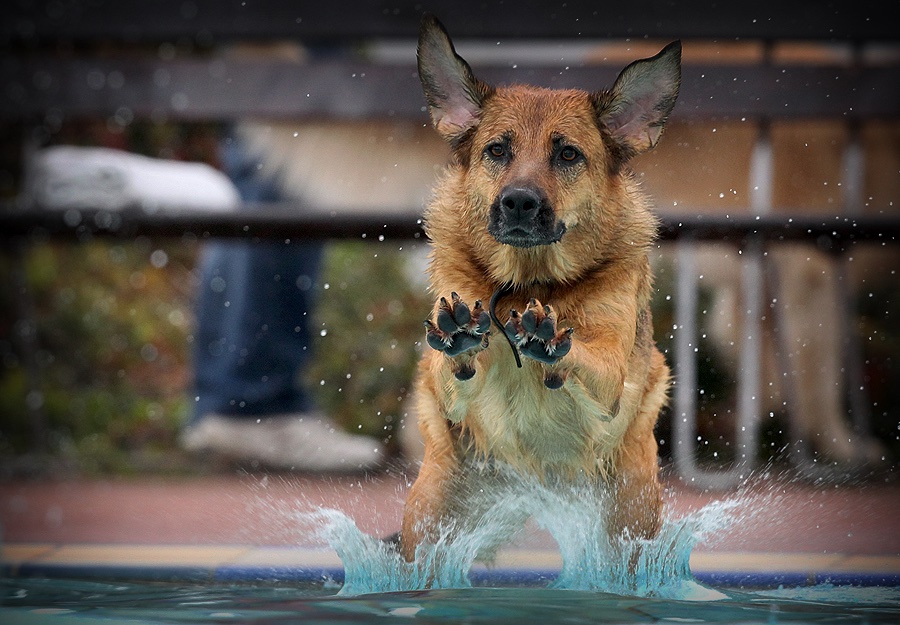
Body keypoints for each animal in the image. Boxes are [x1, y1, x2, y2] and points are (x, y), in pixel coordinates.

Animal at [400, 14, 684, 560]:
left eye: (568, 154)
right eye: (497, 150)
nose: (519, 202)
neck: (528, 282)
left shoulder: (609, 374)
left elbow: (585, 360)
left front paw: (548, 341)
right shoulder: (447, 386)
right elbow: (451, 371)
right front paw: (462, 338)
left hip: (631, 506)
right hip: (431, 507)